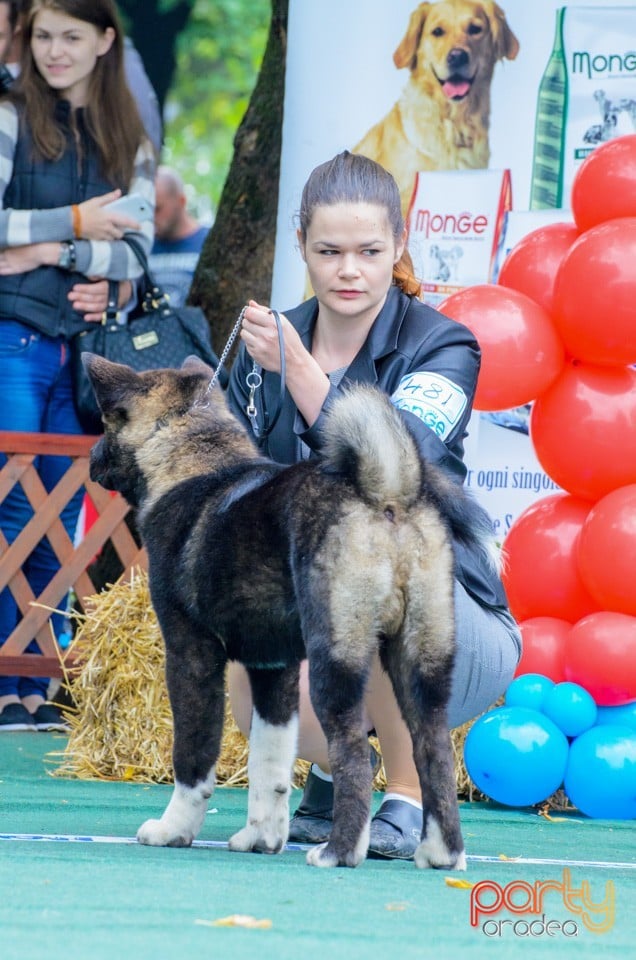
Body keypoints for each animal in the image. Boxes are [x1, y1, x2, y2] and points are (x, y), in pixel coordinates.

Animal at [82, 354, 494, 872]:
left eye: (105, 421)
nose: (90, 457)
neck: (192, 459)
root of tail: (386, 494)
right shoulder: (272, 668)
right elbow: (269, 761)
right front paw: (262, 837)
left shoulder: (190, 654)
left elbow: (193, 754)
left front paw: (173, 830)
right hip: (420, 661)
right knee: (432, 750)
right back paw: (442, 852)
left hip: (336, 659)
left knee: (353, 751)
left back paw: (340, 851)